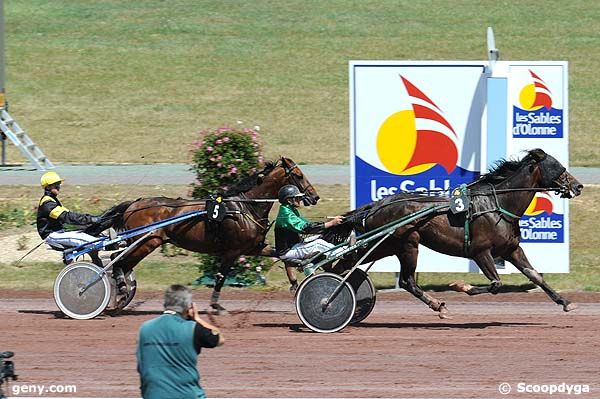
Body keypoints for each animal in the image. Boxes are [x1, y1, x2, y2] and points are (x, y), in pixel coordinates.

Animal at [97, 158, 318, 314]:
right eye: (298, 175)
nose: (315, 197)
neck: (245, 207)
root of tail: (133, 205)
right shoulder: (232, 251)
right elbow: (220, 277)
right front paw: (216, 306)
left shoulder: (253, 247)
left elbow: (283, 256)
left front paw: (296, 285)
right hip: (145, 243)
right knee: (119, 262)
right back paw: (120, 293)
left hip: (144, 243)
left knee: (122, 264)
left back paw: (119, 299)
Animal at [326, 150, 584, 318]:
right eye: (558, 166)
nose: (578, 185)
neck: (498, 205)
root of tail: (377, 205)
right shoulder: (481, 252)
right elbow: (495, 284)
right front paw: (462, 286)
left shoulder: (511, 249)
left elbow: (535, 276)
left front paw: (566, 302)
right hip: (405, 245)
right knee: (405, 280)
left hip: (387, 245)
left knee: (348, 264)